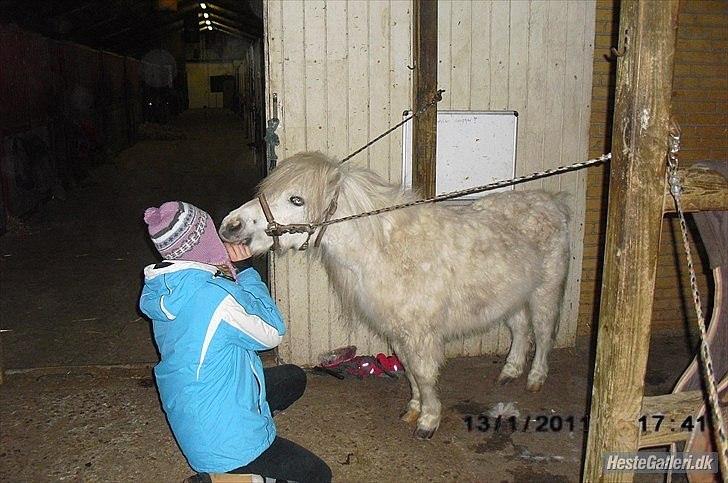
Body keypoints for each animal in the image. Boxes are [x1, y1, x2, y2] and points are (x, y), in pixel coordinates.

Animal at [219, 153, 572, 440]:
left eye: (296, 199)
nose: (231, 226)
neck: (386, 250)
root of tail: (553, 202)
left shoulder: (421, 334)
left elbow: (425, 374)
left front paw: (429, 421)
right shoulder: (398, 333)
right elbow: (410, 371)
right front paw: (413, 409)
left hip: (544, 292)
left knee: (542, 334)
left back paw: (535, 378)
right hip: (513, 297)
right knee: (521, 331)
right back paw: (509, 373)